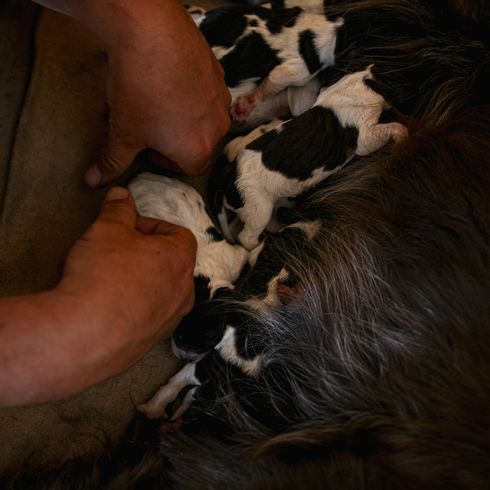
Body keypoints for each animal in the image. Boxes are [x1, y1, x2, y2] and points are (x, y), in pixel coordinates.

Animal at [217, 65, 406, 249]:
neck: (361, 82)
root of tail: (230, 176)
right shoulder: (364, 138)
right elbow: (394, 127)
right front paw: (402, 138)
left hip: (261, 207)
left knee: (260, 225)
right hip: (259, 208)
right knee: (246, 237)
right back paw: (261, 244)